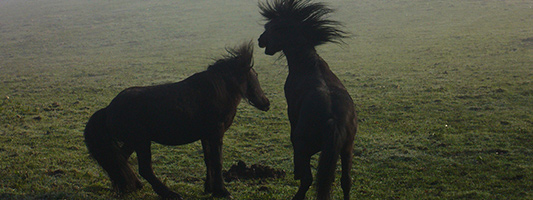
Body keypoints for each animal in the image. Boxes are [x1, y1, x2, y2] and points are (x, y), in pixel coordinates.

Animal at [85, 41, 272, 199]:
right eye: (255, 75)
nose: (266, 103)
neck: (217, 92)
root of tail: (108, 109)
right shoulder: (216, 133)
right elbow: (217, 161)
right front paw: (222, 191)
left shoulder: (206, 136)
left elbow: (209, 160)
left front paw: (210, 188)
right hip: (141, 141)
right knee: (143, 168)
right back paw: (170, 194)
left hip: (133, 142)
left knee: (120, 160)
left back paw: (131, 186)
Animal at [258, 0, 358, 200]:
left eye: (270, 28)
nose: (259, 40)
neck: (308, 64)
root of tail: (333, 120)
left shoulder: (292, 114)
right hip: (347, 150)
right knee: (346, 181)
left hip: (306, 146)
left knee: (307, 179)